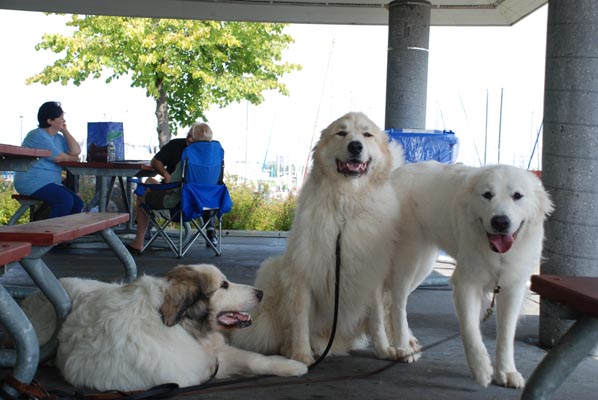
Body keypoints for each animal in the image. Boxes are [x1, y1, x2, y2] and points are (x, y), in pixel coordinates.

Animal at [20, 264, 308, 392]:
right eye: (224, 285)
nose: (260, 293)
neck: (182, 326)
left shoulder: (210, 357)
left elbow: (255, 359)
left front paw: (292, 366)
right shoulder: (188, 374)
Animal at [232, 111, 406, 364]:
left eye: (367, 134)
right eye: (341, 133)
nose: (355, 146)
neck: (346, 207)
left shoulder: (372, 276)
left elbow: (377, 320)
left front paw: (384, 350)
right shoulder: (302, 273)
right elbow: (300, 320)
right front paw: (301, 355)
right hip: (273, 271)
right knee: (279, 332)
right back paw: (294, 348)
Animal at [392, 162, 556, 388]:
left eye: (517, 196)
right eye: (487, 195)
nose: (500, 222)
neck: (499, 255)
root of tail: (397, 172)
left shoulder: (512, 288)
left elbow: (506, 334)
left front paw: (506, 371)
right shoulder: (466, 283)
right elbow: (470, 330)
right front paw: (481, 369)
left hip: (424, 263)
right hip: (408, 258)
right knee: (396, 302)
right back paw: (401, 347)